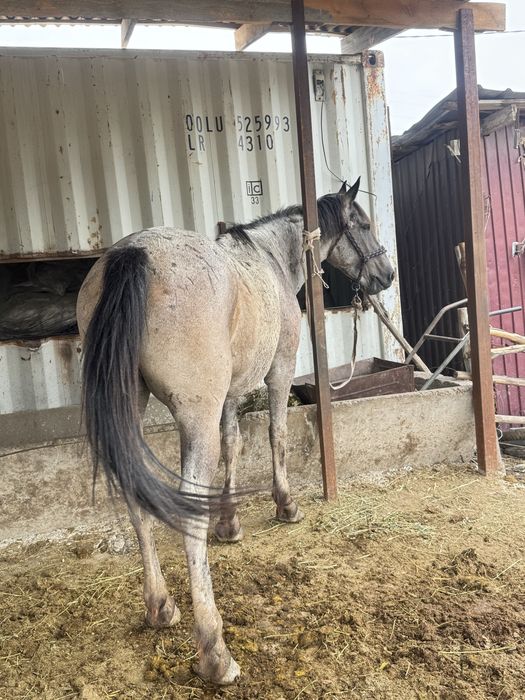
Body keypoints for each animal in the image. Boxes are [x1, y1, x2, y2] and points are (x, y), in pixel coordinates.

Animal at [76, 177, 394, 685]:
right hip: (195, 416)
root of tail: (133, 254)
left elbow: (233, 445)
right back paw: (215, 652)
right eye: (362, 224)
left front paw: (228, 523)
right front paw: (285, 505)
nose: (386, 274)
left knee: (135, 498)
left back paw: (160, 606)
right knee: (187, 514)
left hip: (134, 407)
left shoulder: (228, 395)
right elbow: (274, 435)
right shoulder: (277, 372)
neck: (270, 259)